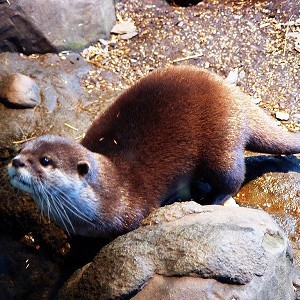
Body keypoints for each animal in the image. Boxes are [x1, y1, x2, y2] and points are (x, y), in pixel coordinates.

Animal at [7, 65, 300, 237]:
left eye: (45, 160)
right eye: (20, 150)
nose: (16, 162)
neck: (110, 195)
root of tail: (233, 94)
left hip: (221, 141)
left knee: (233, 175)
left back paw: (214, 200)